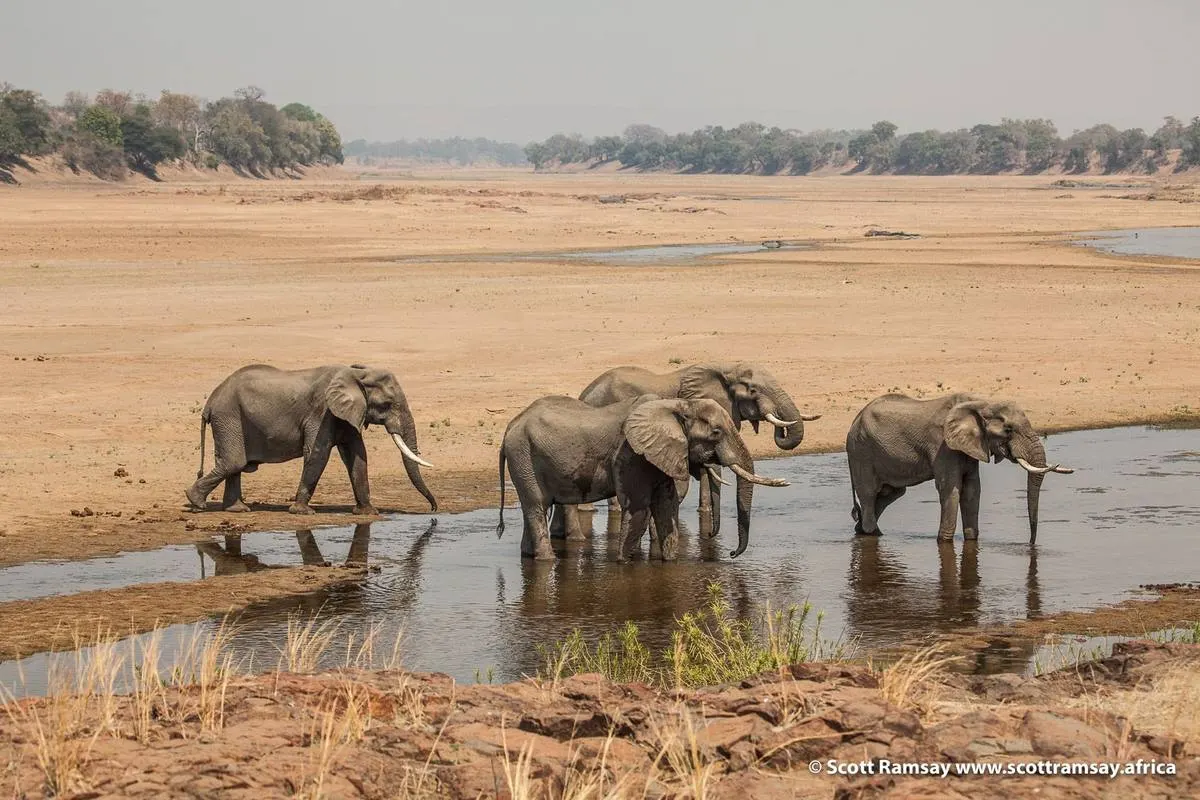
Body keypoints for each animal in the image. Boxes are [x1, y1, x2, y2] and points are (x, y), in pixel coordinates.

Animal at [185, 364, 436, 516]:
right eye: (388, 404)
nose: (433, 511)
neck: (356, 373)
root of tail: (210, 402)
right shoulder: (322, 412)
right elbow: (318, 454)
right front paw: (302, 512)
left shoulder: (346, 414)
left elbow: (357, 457)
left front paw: (367, 513)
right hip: (228, 417)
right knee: (233, 462)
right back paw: (196, 503)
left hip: (231, 418)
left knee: (234, 464)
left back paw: (236, 510)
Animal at [496, 394, 789, 561]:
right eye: (716, 433)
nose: (731, 553)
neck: (675, 405)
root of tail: (509, 426)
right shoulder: (631, 453)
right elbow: (638, 510)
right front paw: (624, 564)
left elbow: (666, 508)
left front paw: (667, 563)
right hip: (523, 456)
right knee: (536, 508)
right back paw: (548, 561)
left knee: (532, 510)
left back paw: (529, 556)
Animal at [846, 393, 1074, 542]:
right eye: (1008, 430)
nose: (1031, 544)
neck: (982, 404)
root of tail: (853, 423)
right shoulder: (943, 445)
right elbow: (951, 488)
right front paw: (944, 541)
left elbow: (973, 489)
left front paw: (971, 540)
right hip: (861, 452)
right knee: (869, 495)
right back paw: (872, 533)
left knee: (891, 493)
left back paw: (864, 531)